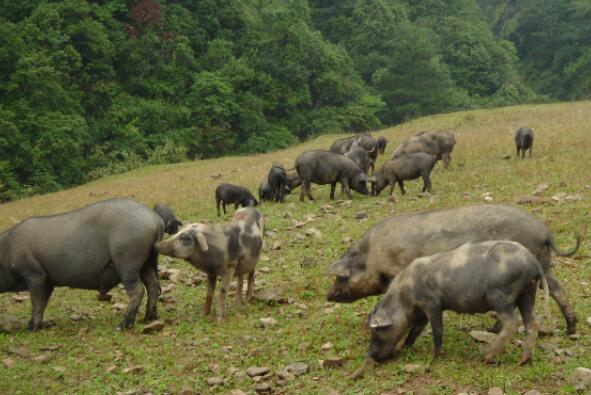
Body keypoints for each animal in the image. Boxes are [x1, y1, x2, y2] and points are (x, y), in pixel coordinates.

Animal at [0, 198, 164, 332]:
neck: (6, 250)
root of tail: (155, 219)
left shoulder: (35, 274)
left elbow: (37, 302)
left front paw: (30, 328)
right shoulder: (48, 281)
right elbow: (43, 302)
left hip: (126, 261)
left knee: (138, 290)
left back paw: (123, 325)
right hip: (149, 260)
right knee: (153, 285)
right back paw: (148, 318)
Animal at [328, 206, 584, 336]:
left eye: (341, 278)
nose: (328, 295)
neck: (372, 256)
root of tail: (544, 231)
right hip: (544, 265)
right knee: (558, 290)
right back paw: (571, 329)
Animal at [370, 238, 552, 366]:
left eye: (378, 331)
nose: (369, 355)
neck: (404, 294)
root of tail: (533, 262)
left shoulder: (432, 303)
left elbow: (437, 329)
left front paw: (433, 357)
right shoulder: (421, 311)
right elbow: (415, 330)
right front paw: (404, 348)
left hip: (501, 296)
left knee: (512, 323)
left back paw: (485, 356)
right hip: (528, 293)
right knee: (531, 323)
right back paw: (523, 361)